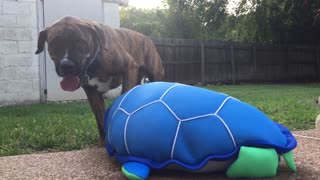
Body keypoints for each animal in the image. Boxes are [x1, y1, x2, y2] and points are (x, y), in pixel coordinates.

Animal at [35, 15, 165, 146]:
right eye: (54, 44)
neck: (94, 62)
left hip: (155, 74)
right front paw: (103, 142)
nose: (66, 65)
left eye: (81, 43)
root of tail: (147, 38)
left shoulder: (129, 67)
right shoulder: (93, 95)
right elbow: (100, 119)